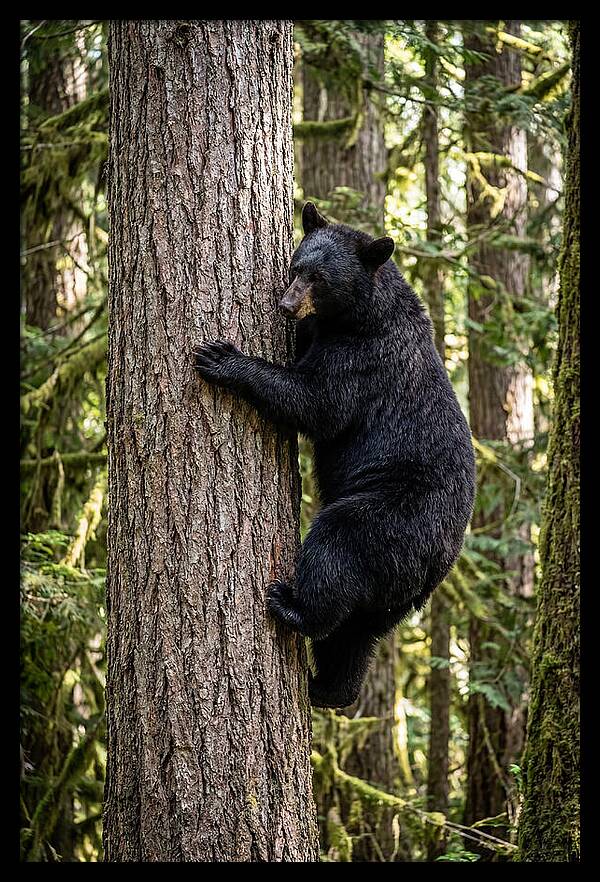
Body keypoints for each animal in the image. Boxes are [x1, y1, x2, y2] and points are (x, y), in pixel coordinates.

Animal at [193, 201, 476, 708]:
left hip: (391, 517)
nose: (286, 305)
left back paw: (291, 606)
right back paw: (330, 689)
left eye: (320, 279)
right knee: (357, 633)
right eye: (295, 266)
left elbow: (316, 402)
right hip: (392, 593)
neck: (360, 315)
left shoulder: (363, 359)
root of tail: (439, 562)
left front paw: (223, 357)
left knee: (337, 548)